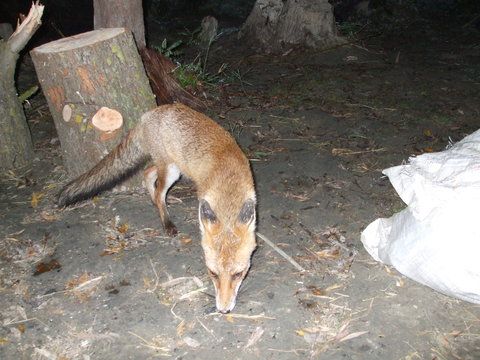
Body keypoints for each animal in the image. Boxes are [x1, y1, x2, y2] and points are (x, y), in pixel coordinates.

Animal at [57, 103, 255, 312]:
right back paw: (166, 221)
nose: (223, 310)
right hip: (170, 170)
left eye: (238, 274)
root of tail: (150, 113)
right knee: (159, 191)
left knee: (147, 174)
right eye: (213, 273)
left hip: (172, 168)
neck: (228, 186)